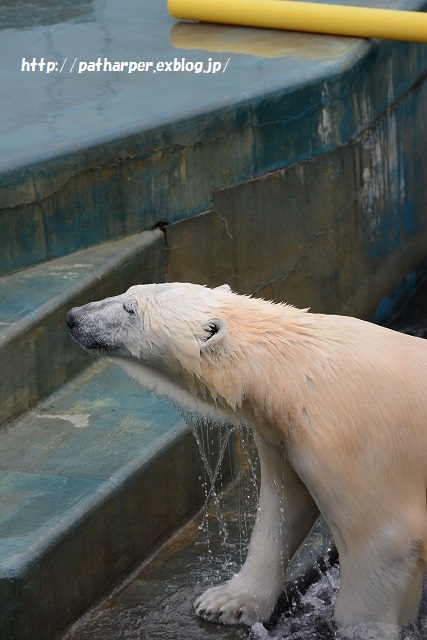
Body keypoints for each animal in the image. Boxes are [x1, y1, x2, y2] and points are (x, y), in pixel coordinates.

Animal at [66, 282, 427, 632]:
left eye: (131, 309)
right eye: (128, 291)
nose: (73, 317)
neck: (297, 370)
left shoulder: (352, 443)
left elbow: (382, 542)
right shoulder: (282, 437)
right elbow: (283, 509)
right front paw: (224, 602)